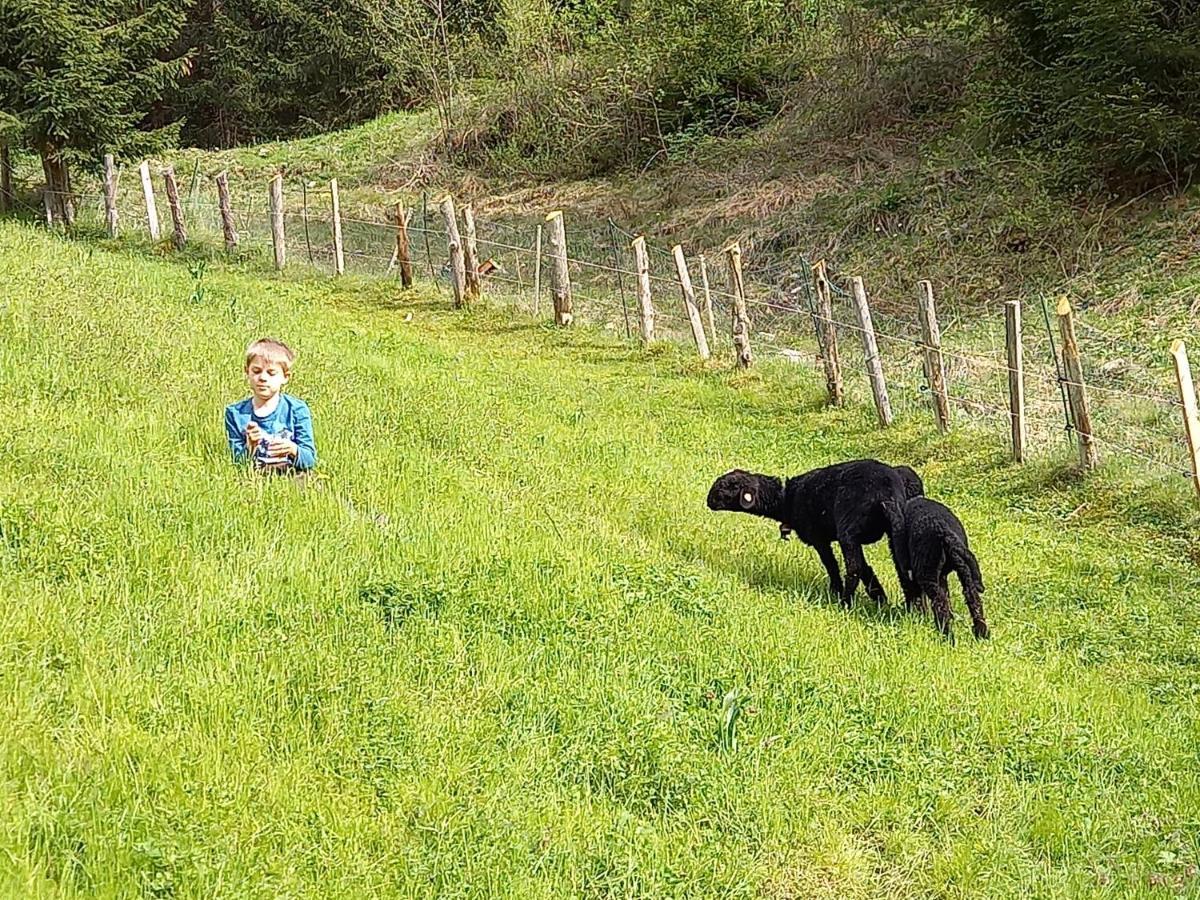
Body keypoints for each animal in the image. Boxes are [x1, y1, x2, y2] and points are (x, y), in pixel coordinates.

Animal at [705, 460, 921, 609]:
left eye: (732, 485)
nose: (709, 500)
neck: (786, 500)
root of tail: (888, 494)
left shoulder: (818, 538)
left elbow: (832, 565)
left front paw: (836, 591)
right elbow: (868, 568)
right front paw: (880, 598)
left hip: (848, 529)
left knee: (854, 568)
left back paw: (845, 602)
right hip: (893, 531)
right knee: (901, 568)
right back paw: (910, 606)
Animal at [897, 501, 988, 643]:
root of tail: (945, 534)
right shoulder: (941, 575)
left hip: (927, 574)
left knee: (940, 605)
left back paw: (947, 636)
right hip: (964, 570)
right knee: (973, 599)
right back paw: (982, 634)